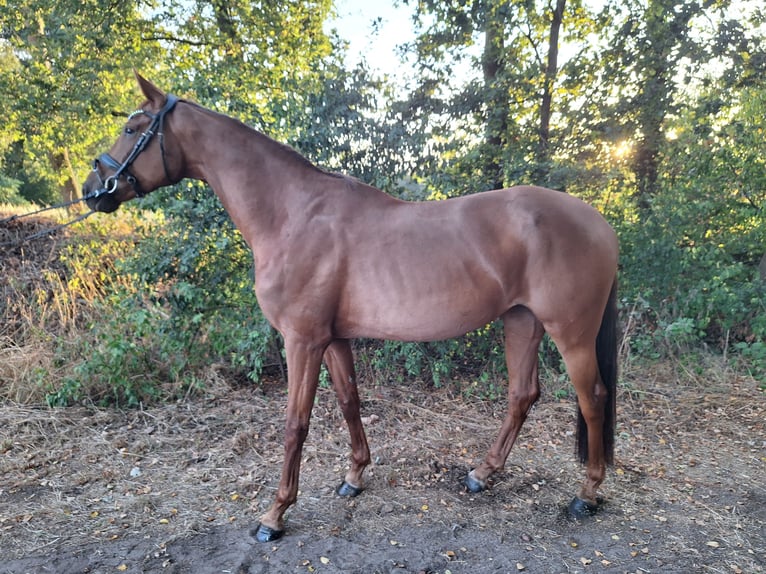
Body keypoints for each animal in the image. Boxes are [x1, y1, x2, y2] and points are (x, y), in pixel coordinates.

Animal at [82, 72, 619, 543]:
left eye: (131, 128)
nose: (92, 190)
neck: (292, 215)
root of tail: (599, 221)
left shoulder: (302, 340)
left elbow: (295, 424)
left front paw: (275, 514)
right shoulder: (333, 337)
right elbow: (348, 402)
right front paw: (355, 476)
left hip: (570, 332)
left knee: (593, 396)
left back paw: (587, 494)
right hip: (521, 321)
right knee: (522, 395)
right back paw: (482, 474)